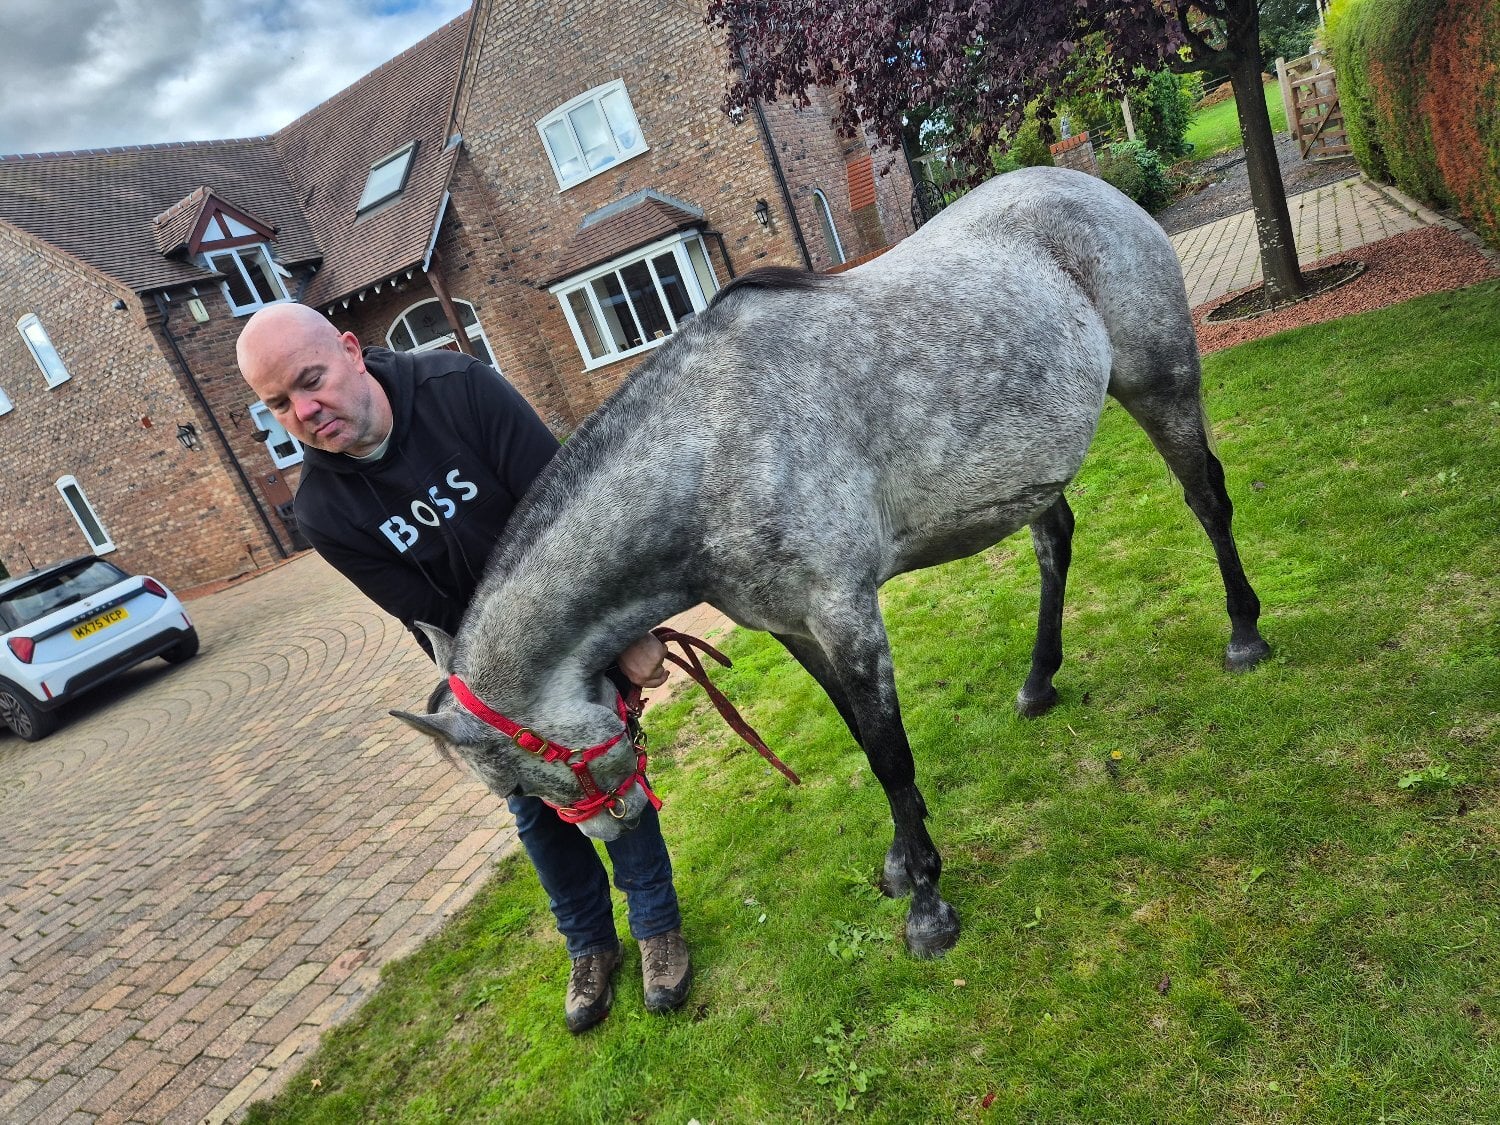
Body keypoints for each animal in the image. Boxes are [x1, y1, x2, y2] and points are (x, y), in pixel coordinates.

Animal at [394, 165, 1270, 958]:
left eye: (518, 783)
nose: (624, 823)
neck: (714, 451)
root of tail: (1097, 188)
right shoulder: (795, 630)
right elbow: (862, 740)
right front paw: (904, 860)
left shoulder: (847, 615)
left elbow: (889, 751)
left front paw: (928, 907)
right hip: (1028, 467)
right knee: (1055, 542)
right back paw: (1037, 682)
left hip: (1160, 386)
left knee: (1208, 501)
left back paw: (1244, 635)